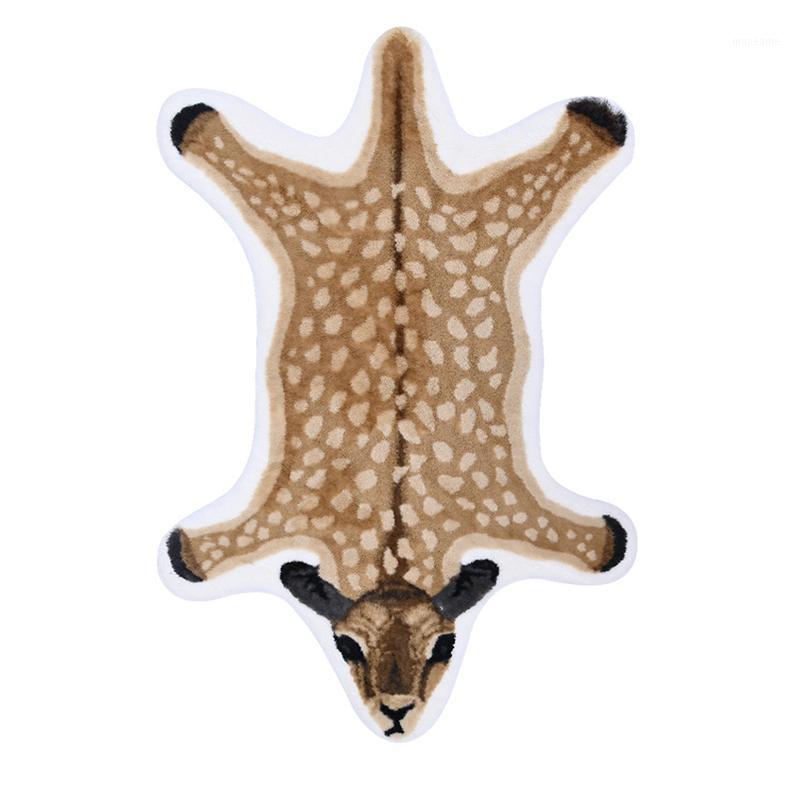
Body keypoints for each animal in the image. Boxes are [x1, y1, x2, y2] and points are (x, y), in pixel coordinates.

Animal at [158, 28, 635, 739]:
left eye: (445, 645)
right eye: (345, 645)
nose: (396, 715)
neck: (394, 533)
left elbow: (598, 545)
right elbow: (198, 556)